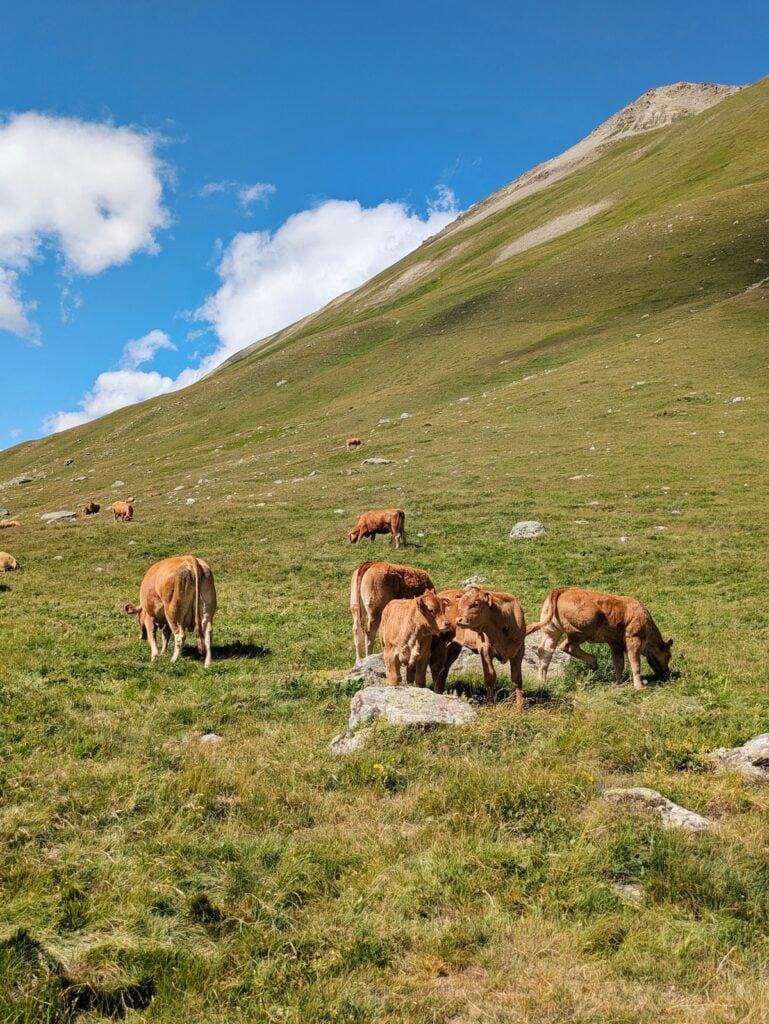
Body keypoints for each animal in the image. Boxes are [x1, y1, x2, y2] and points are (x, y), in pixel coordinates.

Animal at [526, 587, 673, 689]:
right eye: (669, 655)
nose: (667, 673)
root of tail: (563, 590)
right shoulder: (633, 639)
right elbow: (635, 663)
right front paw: (639, 686)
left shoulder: (615, 644)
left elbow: (618, 664)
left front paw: (619, 683)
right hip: (583, 630)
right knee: (567, 646)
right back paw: (593, 661)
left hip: (551, 630)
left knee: (545, 651)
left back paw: (542, 681)